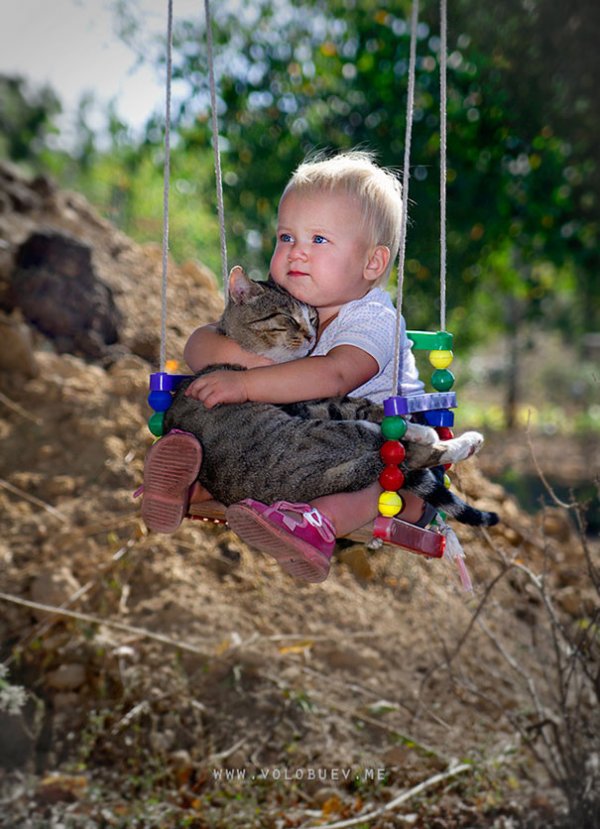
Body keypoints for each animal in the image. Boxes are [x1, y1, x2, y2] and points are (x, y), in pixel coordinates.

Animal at [164, 272, 496, 532]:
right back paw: (449, 438)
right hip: (330, 433)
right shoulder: (312, 402)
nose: (312, 335)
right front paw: (417, 428)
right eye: (287, 318)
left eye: (313, 318)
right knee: (404, 452)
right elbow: (362, 406)